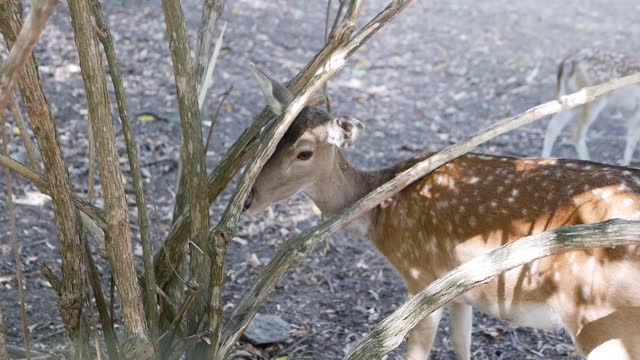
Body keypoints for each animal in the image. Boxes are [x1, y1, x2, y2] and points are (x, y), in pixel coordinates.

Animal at [244, 66, 640, 358]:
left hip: (603, 321)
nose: (247, 200)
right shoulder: (460, 290)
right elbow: (462, 346)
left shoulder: (421, 279)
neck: (381, 215)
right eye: (271, 138)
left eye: (304, 152)